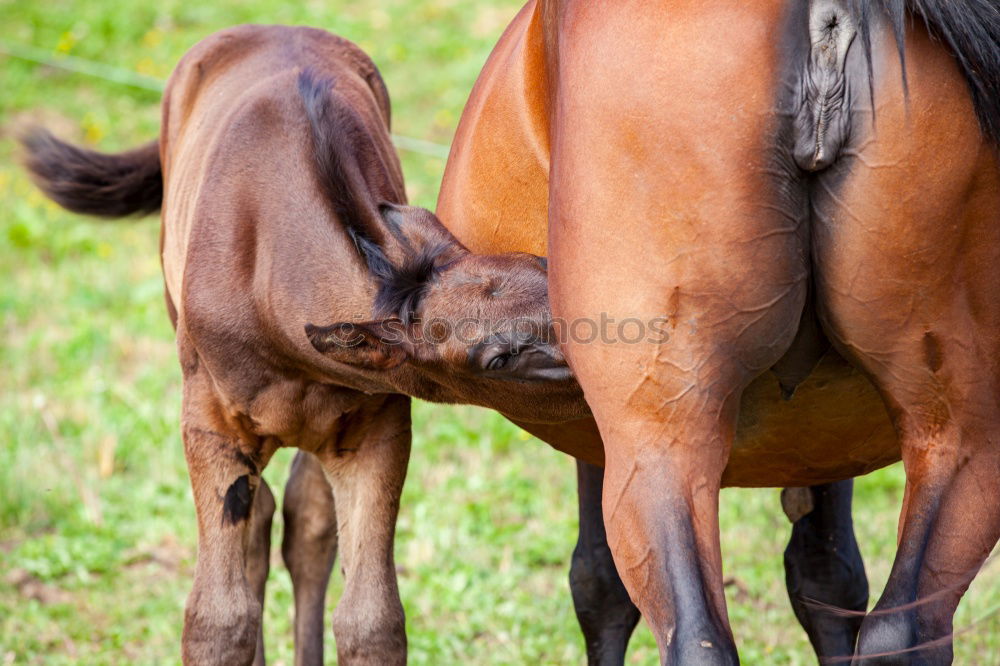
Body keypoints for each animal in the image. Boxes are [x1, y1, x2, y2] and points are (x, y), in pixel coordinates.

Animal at [23, 23, 588, 660]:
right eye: (499, 356)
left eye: (547, 267)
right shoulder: (209, 424)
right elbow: (216, 617)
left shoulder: (376, 425)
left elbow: (371, 617)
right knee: (263, 522)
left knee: (305, 520)